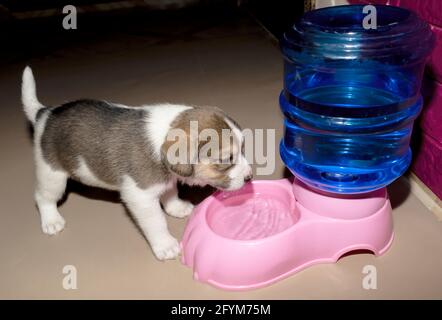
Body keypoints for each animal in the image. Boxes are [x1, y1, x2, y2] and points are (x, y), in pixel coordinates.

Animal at [22, 67, 252, 260]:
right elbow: (156, 222)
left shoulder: (166, 180)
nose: (249, 177)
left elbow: (170, 193)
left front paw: (176, 207)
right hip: (52, 175)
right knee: (42, 197)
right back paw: (51, 220)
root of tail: (45, 114)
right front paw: (165, 245)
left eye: (243, 148)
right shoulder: (140, 197)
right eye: (225, 160)